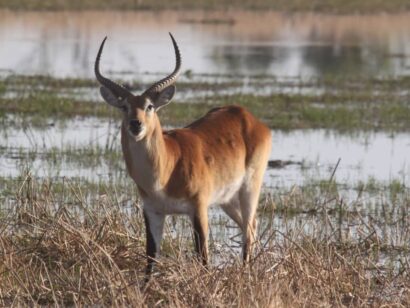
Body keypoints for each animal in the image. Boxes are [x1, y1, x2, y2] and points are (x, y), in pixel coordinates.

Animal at [93, 33, 272, 274]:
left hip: (250, 188)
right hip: (227, 199)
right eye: (124, 107)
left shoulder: (198, 208)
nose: (135, 124)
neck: (165, 171)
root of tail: (248, 117)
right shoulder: (153, 211)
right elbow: (150, 258)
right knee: (250, 225)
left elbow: (203, 256)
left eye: (150, 106)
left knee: (249, 230)